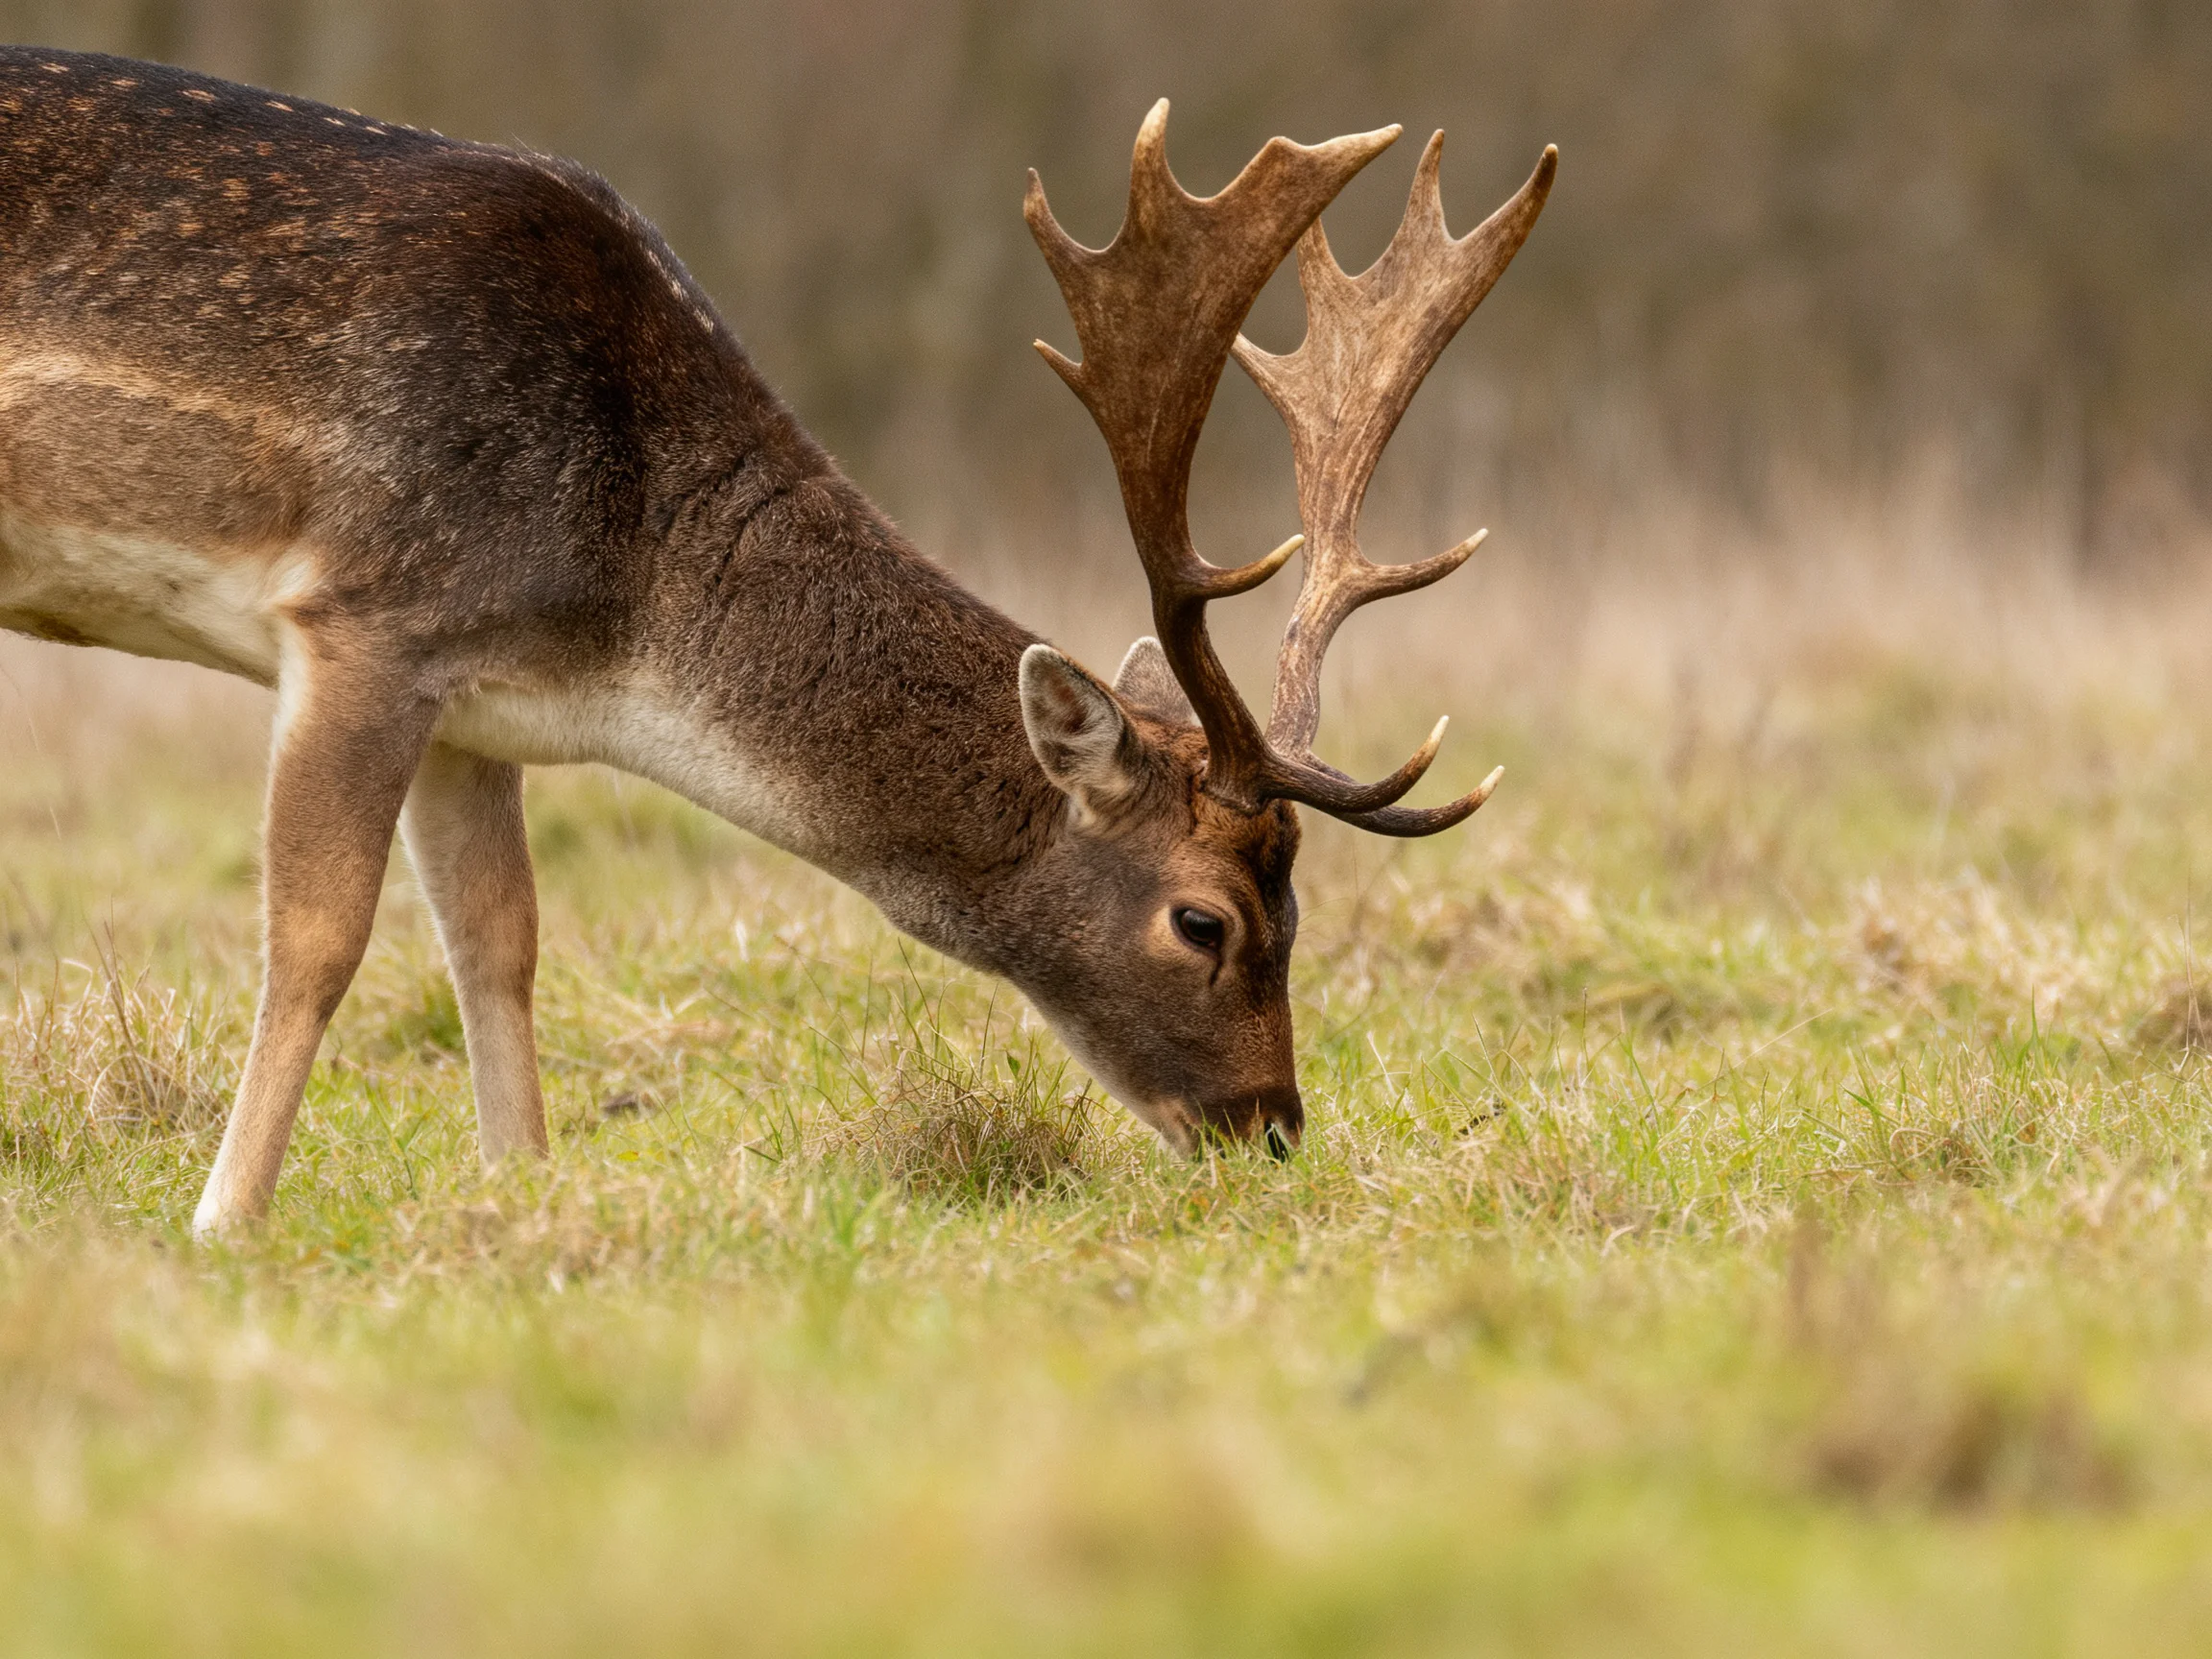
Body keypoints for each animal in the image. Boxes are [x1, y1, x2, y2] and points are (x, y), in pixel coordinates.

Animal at [0, 48, 1555, 1234]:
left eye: (1304, 911)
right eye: (1205, 920)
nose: (1270, 1127)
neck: (618, 618)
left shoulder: (470, 706)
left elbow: (498, 943)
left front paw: (525, 1199)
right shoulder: (365, 613)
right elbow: (318, 937)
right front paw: (223, 1223)